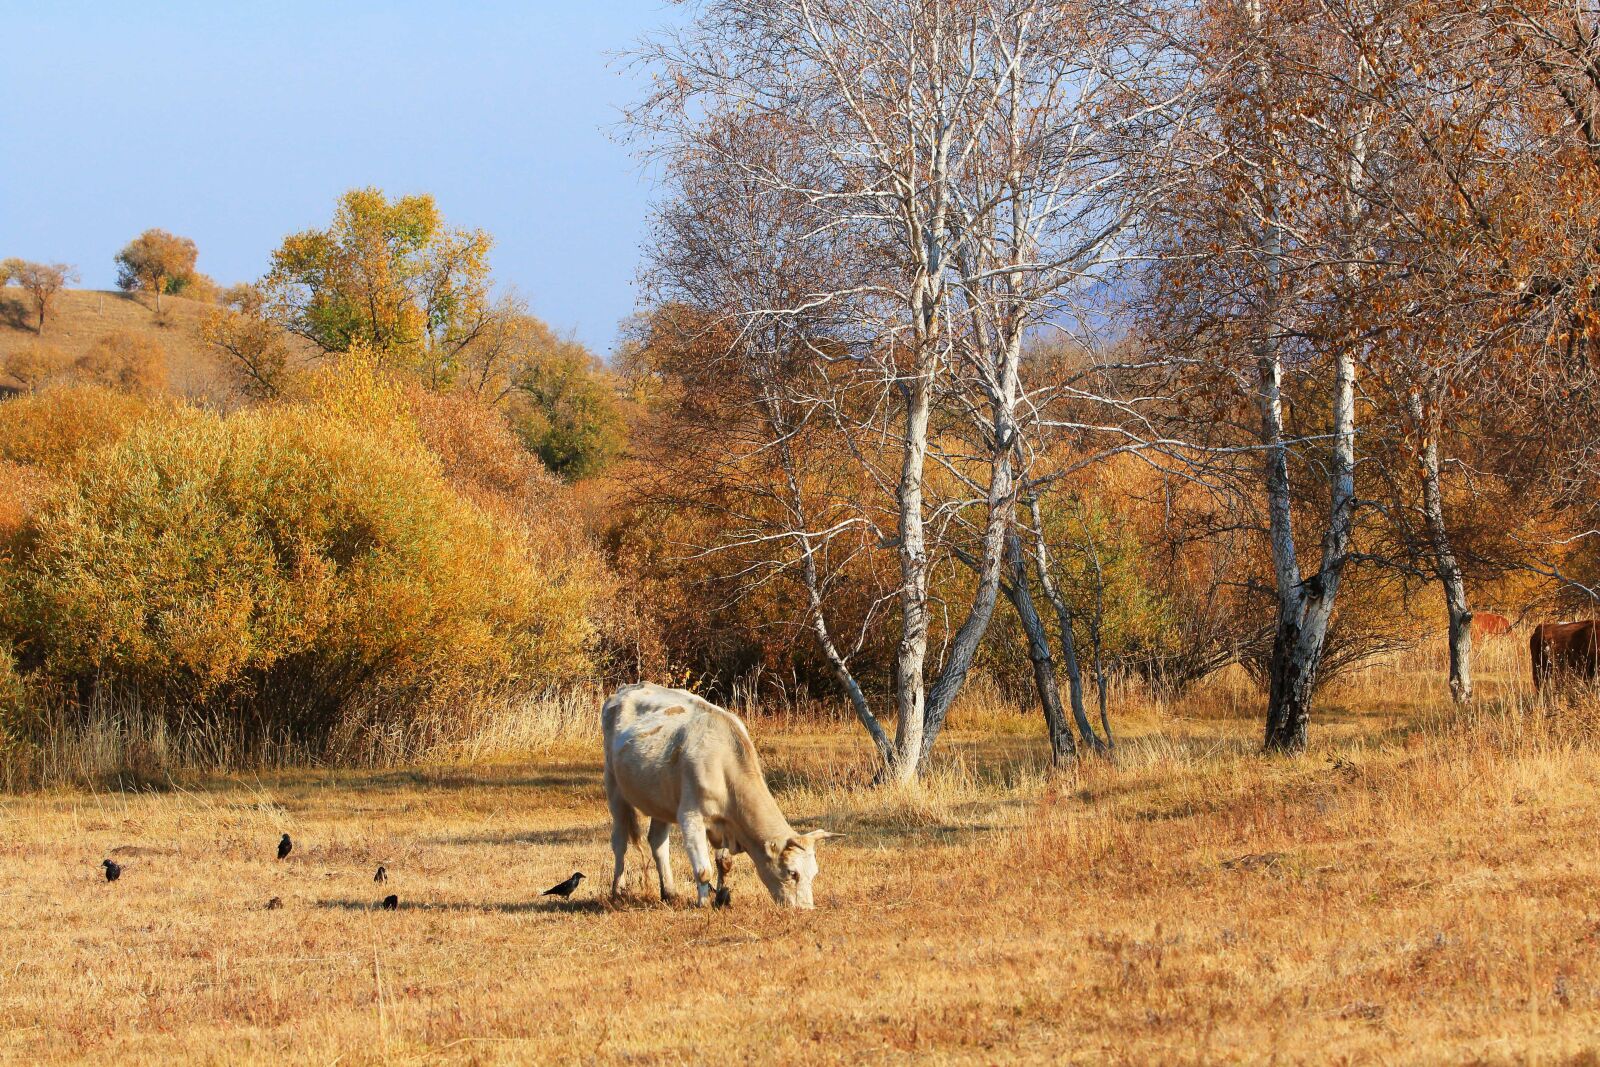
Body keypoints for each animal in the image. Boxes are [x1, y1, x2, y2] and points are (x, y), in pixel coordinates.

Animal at [601, 684, 838, 908]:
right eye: (792, 873)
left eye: (814, 873)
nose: (805, 908)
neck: (723, 764)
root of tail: (627, 688)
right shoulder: (691, 816)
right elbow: (703, 870)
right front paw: (703, 902)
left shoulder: (726, 820)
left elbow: (725, 862)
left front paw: (722, 896)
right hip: (613, 785)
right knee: (620, 841)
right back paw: (617, 889)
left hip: (660, 799)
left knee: (658, 842)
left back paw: (669, 892)